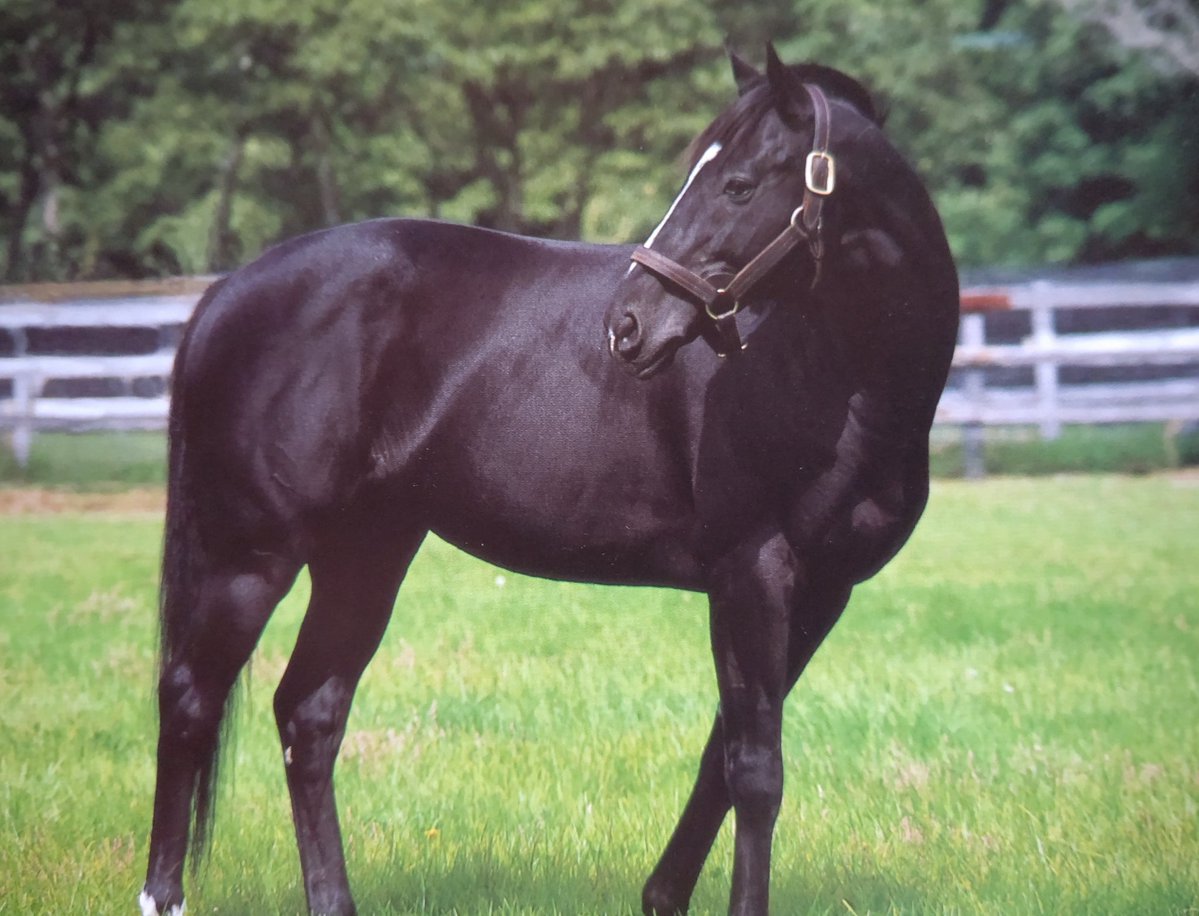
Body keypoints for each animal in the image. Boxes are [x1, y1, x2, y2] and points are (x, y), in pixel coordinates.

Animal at [140, 45, 959, 916]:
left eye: (738, 184)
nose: (628, 324)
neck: (837, 377)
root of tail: (227, 293)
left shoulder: (821, 591)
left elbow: (722, 757)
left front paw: (662, 896)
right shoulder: (751, 572)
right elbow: (754, 771)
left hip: (364, 554)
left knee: (309, 714)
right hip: (248, 558)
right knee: (190, 700)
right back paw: (163, 894)